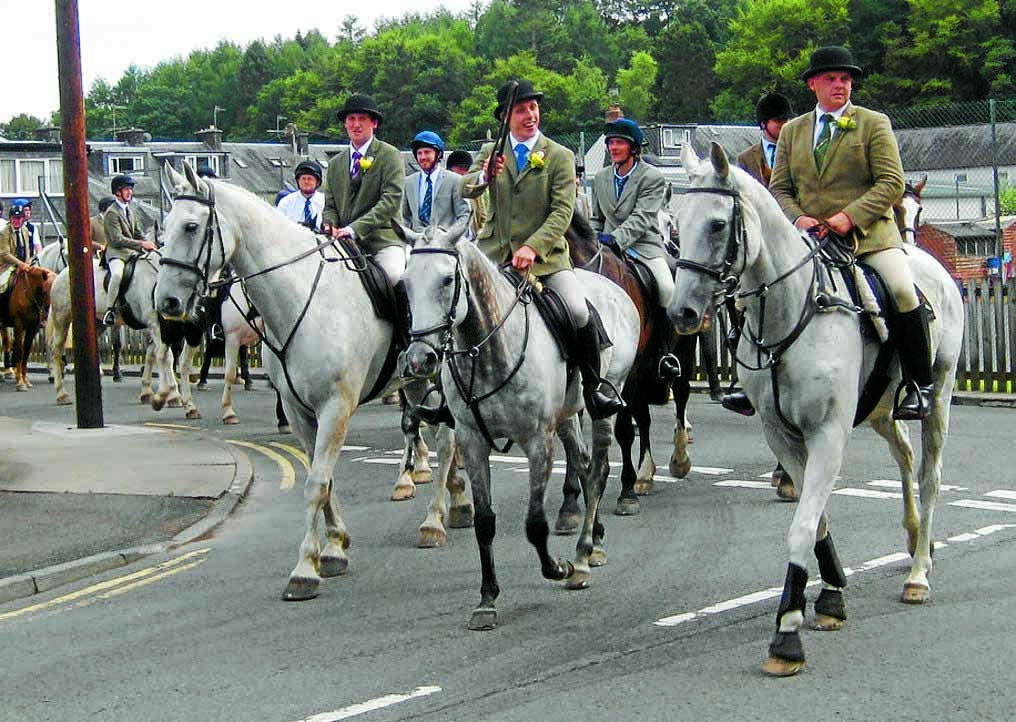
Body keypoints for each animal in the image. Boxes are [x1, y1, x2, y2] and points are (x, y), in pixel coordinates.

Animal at [154, 163, 467, 597]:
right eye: (163, 229)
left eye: (190, 226)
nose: (165, 302)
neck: (303, 297)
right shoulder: (299, 411)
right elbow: (326, 480)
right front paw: (334, 548)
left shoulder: (335, 408)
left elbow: (316, 483)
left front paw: (305, 568)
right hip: (416, 380)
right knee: (440, 434)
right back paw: (455, 499)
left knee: (445, 440)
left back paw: (433, 521)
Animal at [400, 223, 638, 629]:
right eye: (405, 283)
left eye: (447, 280)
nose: (420, 359)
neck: (488, 350)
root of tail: (614, 288)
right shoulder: (472, 440)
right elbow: (484, 523)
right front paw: (486, 600)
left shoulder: (537, 441)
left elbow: (535, 523)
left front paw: (557, 567)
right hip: (566, 416)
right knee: (583, 462)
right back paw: (595, 541)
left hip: (605, 403)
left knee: (597, 472)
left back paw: (582, 556)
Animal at [556, 212, 699, 528]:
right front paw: (570, 503)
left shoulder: (626, 372)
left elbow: (623, 431)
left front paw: (626, 493)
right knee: (644, 419)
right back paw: (645, 474)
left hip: (680, 356)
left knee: (681, 397)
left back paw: (679, 459)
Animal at [670, 142, 963, 678]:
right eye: (677, 220)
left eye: (718, 224)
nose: (681, 313)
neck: (791, 310)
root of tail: (923, 260)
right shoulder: (781, 435)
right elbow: (816, 518)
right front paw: (830, 597)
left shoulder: (827, 433)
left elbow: (803, 525)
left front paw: (786, 633)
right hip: (881, 411)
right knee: (906, 457)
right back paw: (916, 539)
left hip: (940, 399)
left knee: (930, 475)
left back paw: (918, 573)